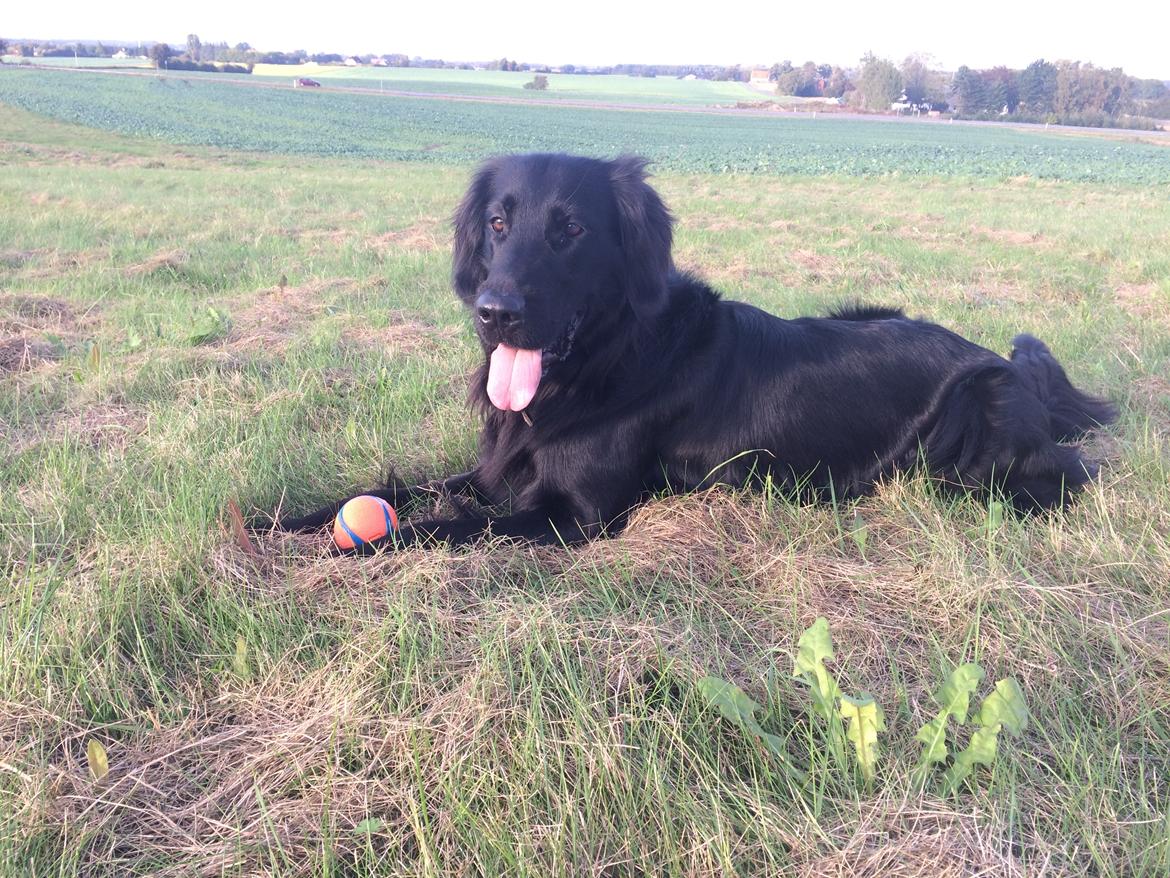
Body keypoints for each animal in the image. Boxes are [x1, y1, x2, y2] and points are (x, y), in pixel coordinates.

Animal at [271, 151, 1113, 550]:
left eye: (571, 229)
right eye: (498, 224)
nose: (495, 313)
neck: (602, 362)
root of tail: (1007, 364)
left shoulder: (575, 515)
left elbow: (435, 528)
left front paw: (354, 549)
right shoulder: (492, 473)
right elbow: (400, 488)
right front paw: (291, 521)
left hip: (978, 439)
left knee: (1071, 474)